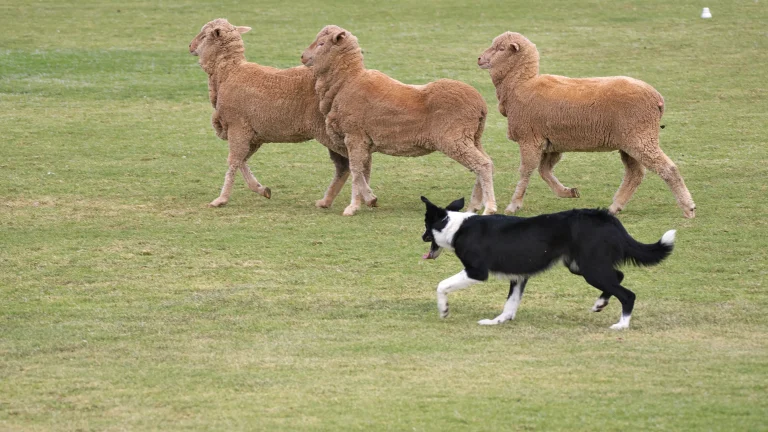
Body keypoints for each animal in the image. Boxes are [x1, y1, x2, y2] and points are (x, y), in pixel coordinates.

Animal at [189, 18, 351, 209]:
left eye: (204, 35)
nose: (190, 46)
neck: (229, 72)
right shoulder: (253, 134)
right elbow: (242, 160)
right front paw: (261, 189)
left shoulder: (238, 127)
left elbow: (233, 161)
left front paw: (221, 199)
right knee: (345, 165)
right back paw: (330, 200)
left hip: (330, 132)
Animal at [300, 25, 497, 216]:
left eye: (322, 44)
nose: (302, 56)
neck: (346, 81)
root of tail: (481, 104)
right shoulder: (362, 141)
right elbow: (361, 171)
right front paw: (368, 199)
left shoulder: (354, 136)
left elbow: (355, 171)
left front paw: (352, 206)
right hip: (471, 137)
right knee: (486, 163)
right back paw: (474, 206)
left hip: (454, 138)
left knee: (483, 165)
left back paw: (489, 207)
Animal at [478, 32, 696, 218]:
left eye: (500, 48)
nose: (479, 59)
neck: (519, 86)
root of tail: (657, 98)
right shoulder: (552, 144)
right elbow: (544, 171)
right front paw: (568, 192)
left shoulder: (530, 139)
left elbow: (526, 171)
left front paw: (514, 205)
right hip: (629, 142)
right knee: (635, 174)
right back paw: (615, 207)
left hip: (640, 137)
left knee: (667, 169)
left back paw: (688, 208)